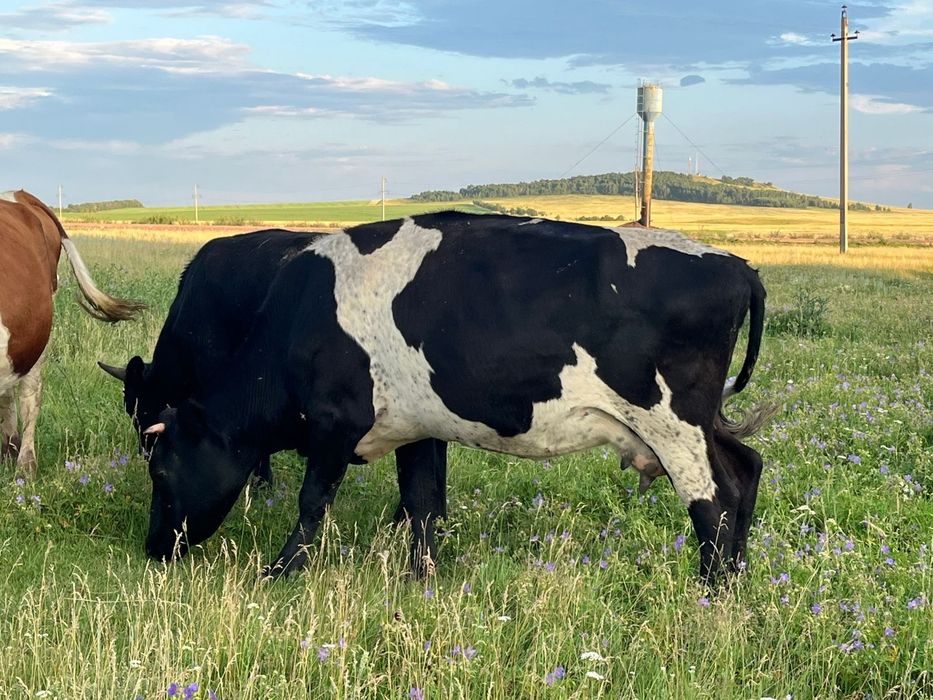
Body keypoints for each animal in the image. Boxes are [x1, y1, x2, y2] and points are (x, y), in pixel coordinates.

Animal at [142, 212, 769, 584]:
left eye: (162, 470)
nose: (153, 549)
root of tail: (738, 266)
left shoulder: (334, 422)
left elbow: (312, 502)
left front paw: (279, 571)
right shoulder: (416, 428)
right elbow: (422, 504)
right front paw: (420, 579)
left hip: (672, 423)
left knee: (713, 500)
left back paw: (710, 591)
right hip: (702, 423)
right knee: (747, 469)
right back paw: (737, 576)